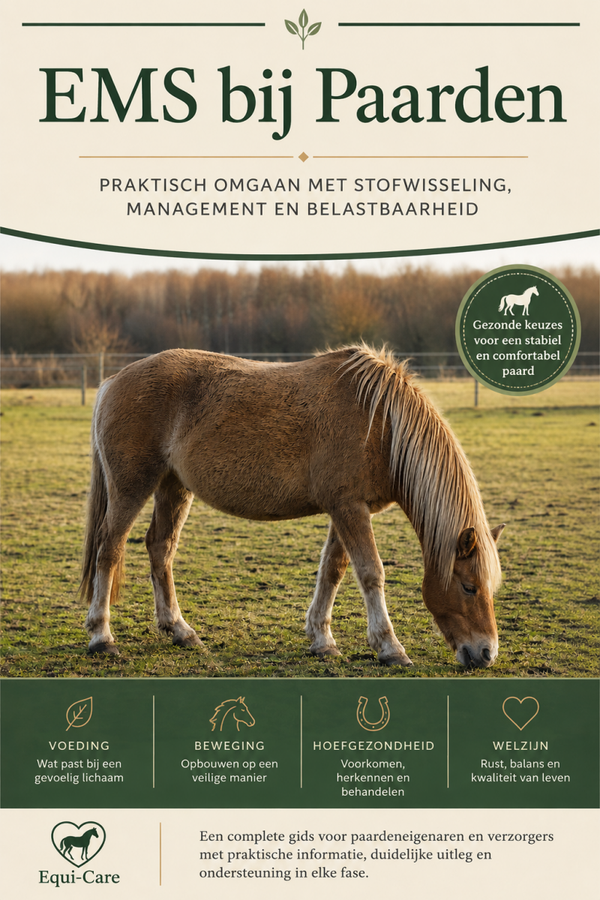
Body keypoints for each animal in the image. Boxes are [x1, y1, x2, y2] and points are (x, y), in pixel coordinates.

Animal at [80, 344, 505, 668]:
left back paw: (181, 631)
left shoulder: (347, 509)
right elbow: (371, 573)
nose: (486, 653)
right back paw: (102, 636)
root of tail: (113, 381)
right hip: (131, 487)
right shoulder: (349, 509)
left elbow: (332, 571)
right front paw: (389, 647)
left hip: (173, 487)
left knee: (160, 548)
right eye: (468, 587)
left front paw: (322, 640)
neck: (379, 424)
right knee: (109, 550)